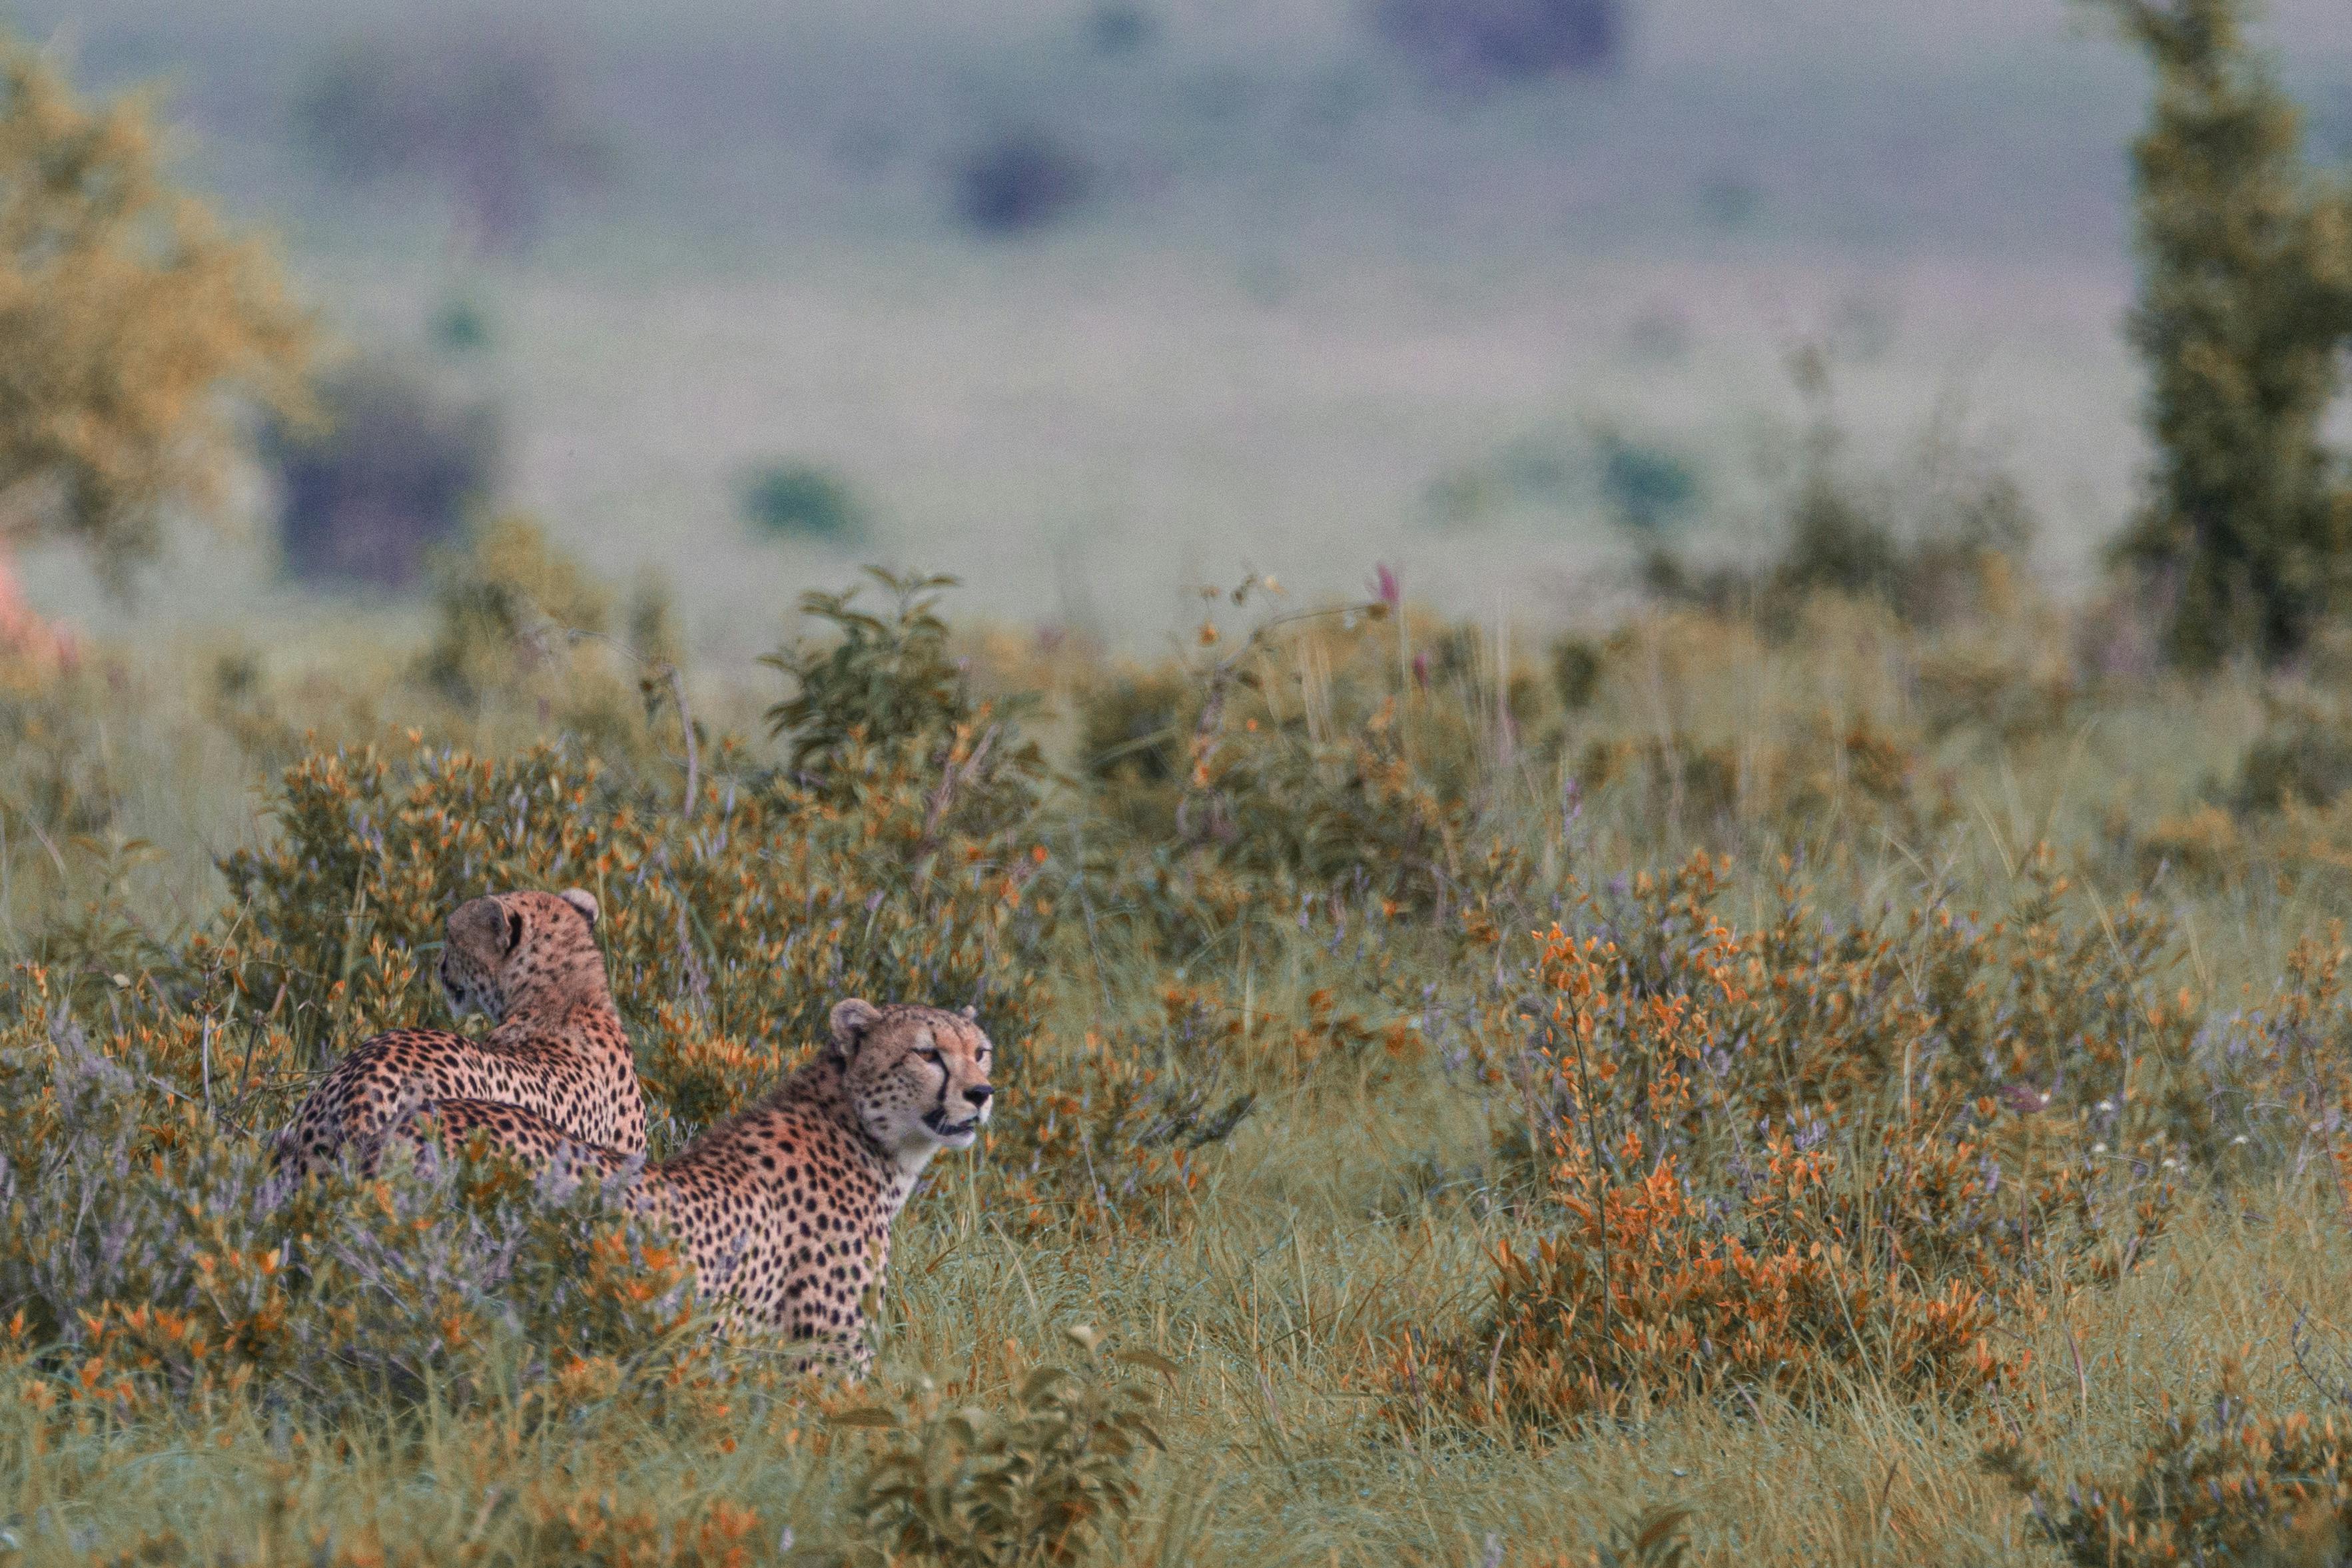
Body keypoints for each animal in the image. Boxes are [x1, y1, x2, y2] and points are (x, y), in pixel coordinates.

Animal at [374, 1006, 992, 1373]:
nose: (981, 1093)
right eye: (927, 1053)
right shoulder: (825, 1361)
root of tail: (418, 1120)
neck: (866, 1133)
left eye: (980, 1051)